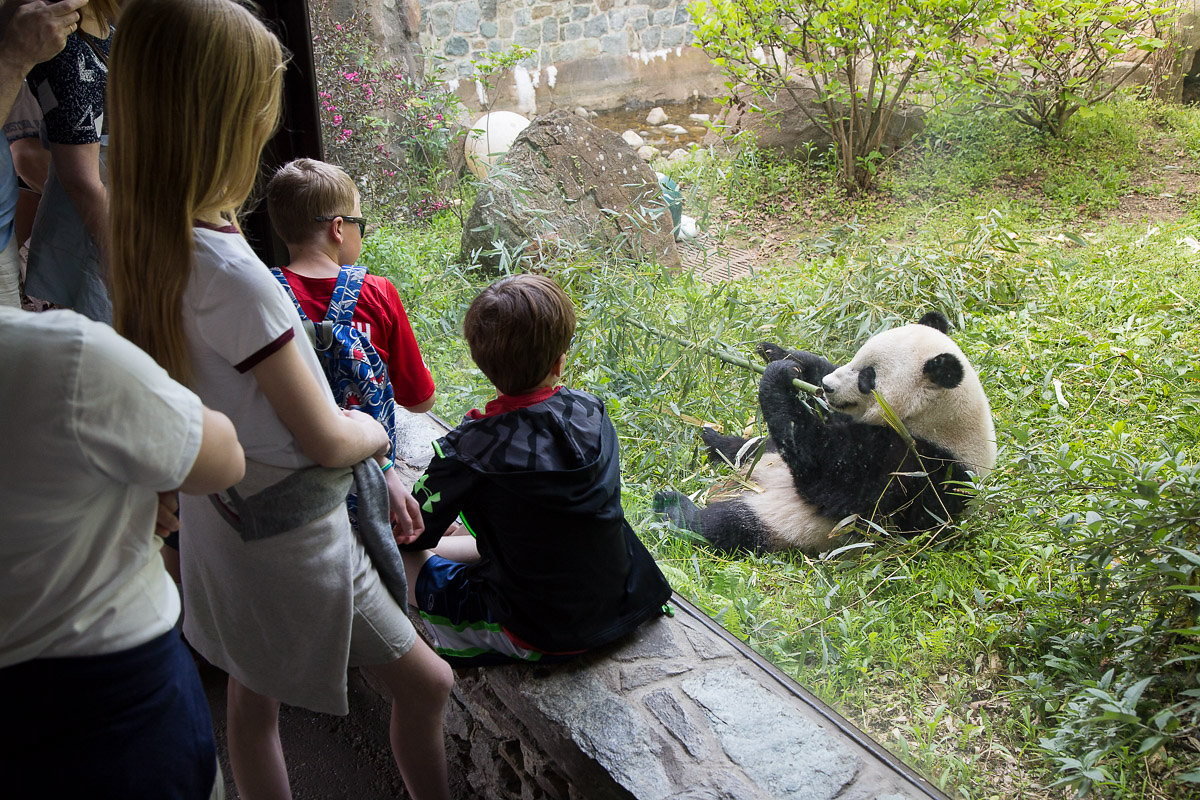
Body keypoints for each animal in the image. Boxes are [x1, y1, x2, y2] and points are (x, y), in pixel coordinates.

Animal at [657, 311, 993, 556]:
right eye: (856, 358)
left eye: (867, 377)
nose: (829, 387)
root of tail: (732, 488)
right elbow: (818, 395)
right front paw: (781, 355)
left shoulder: (918, 467)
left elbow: (827, 474)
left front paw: (777, 378)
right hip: (762, 459)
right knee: (751, 446)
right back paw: (714, 442)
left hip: (780, 523)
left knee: (724, 525)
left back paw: (672, 507)